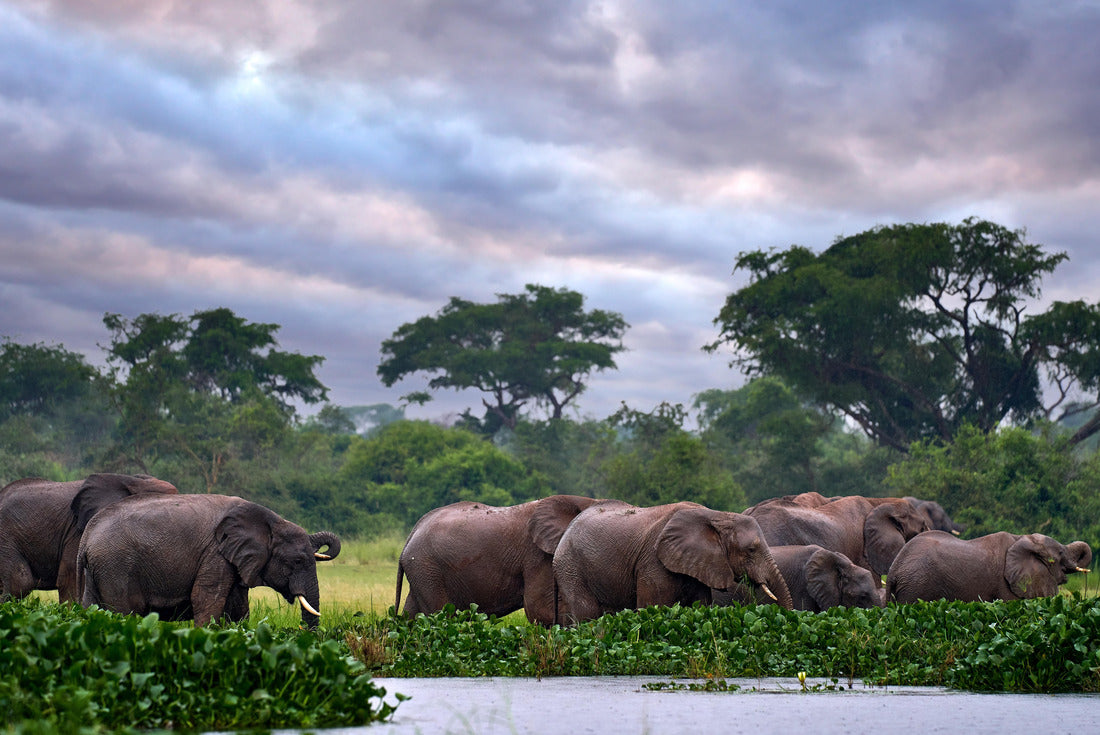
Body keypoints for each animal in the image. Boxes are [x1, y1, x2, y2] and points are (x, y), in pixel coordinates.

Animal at [77, 493, 340, 627]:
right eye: (298, 561)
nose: (301, 633)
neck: (271, 521)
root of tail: (86, 538)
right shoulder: (215, 553)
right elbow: (207, 600)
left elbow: (237, 608)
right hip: (117, 567)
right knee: (124, 613)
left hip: (99, 570)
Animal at [396, 494, 599, 625]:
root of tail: (412, 533)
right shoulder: (537, 556)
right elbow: (539, 607)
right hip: (427, 569)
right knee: (439, 615)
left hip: (421, 571)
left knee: (411, 616)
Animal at [552, 500, 793, 624]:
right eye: (751, 550)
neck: (717, 515)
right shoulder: (653, 563)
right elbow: (653, 609)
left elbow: (699, 607)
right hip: (570, 565)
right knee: (587, 613)